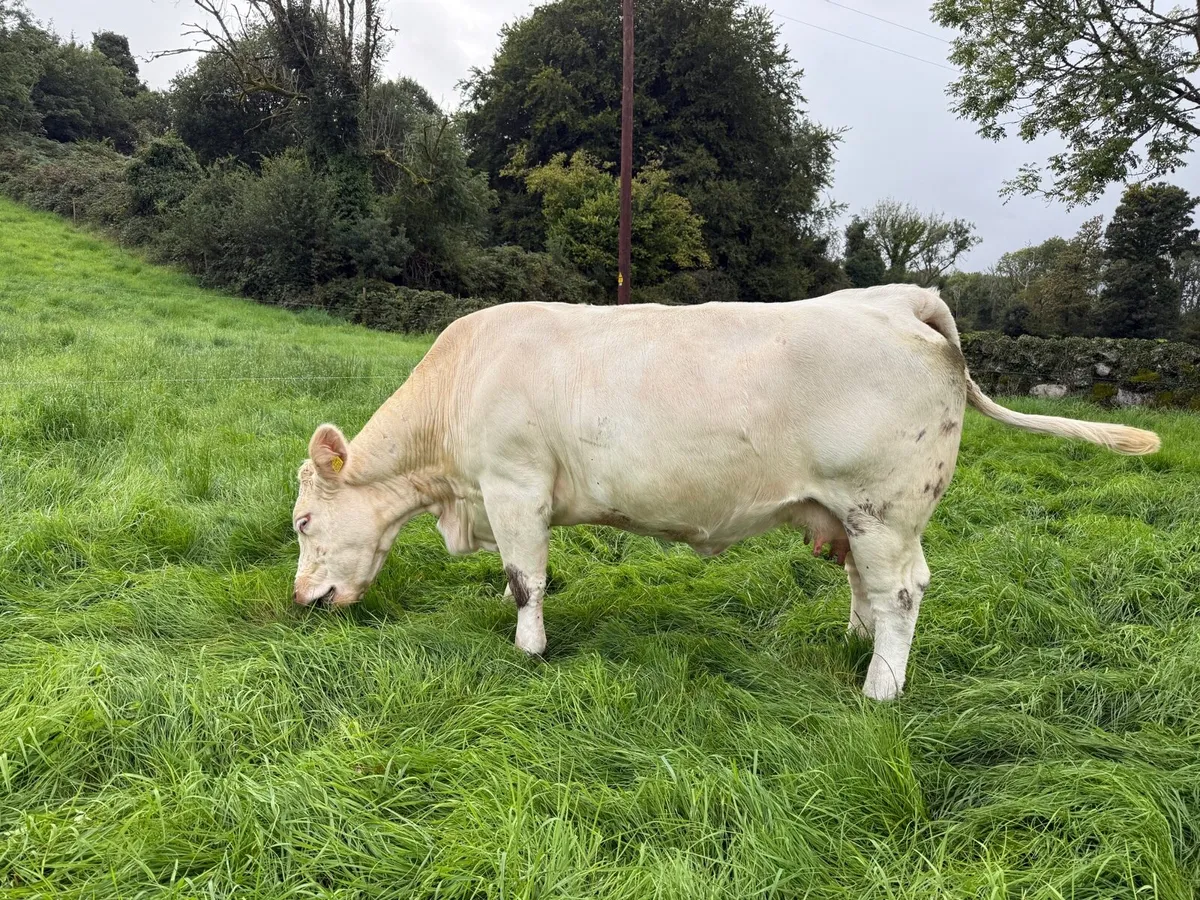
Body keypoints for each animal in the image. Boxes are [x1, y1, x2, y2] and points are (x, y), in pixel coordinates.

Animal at [291, 285, 1160, 700]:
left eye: (301, 521)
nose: (300, 600)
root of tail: (899, 298)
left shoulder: (515, 486)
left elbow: (525, 579)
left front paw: (528, 649)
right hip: (854, 514)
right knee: (868, 587)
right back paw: (855, 643)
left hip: (886, 507)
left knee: (903, 591)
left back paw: (881, 687)